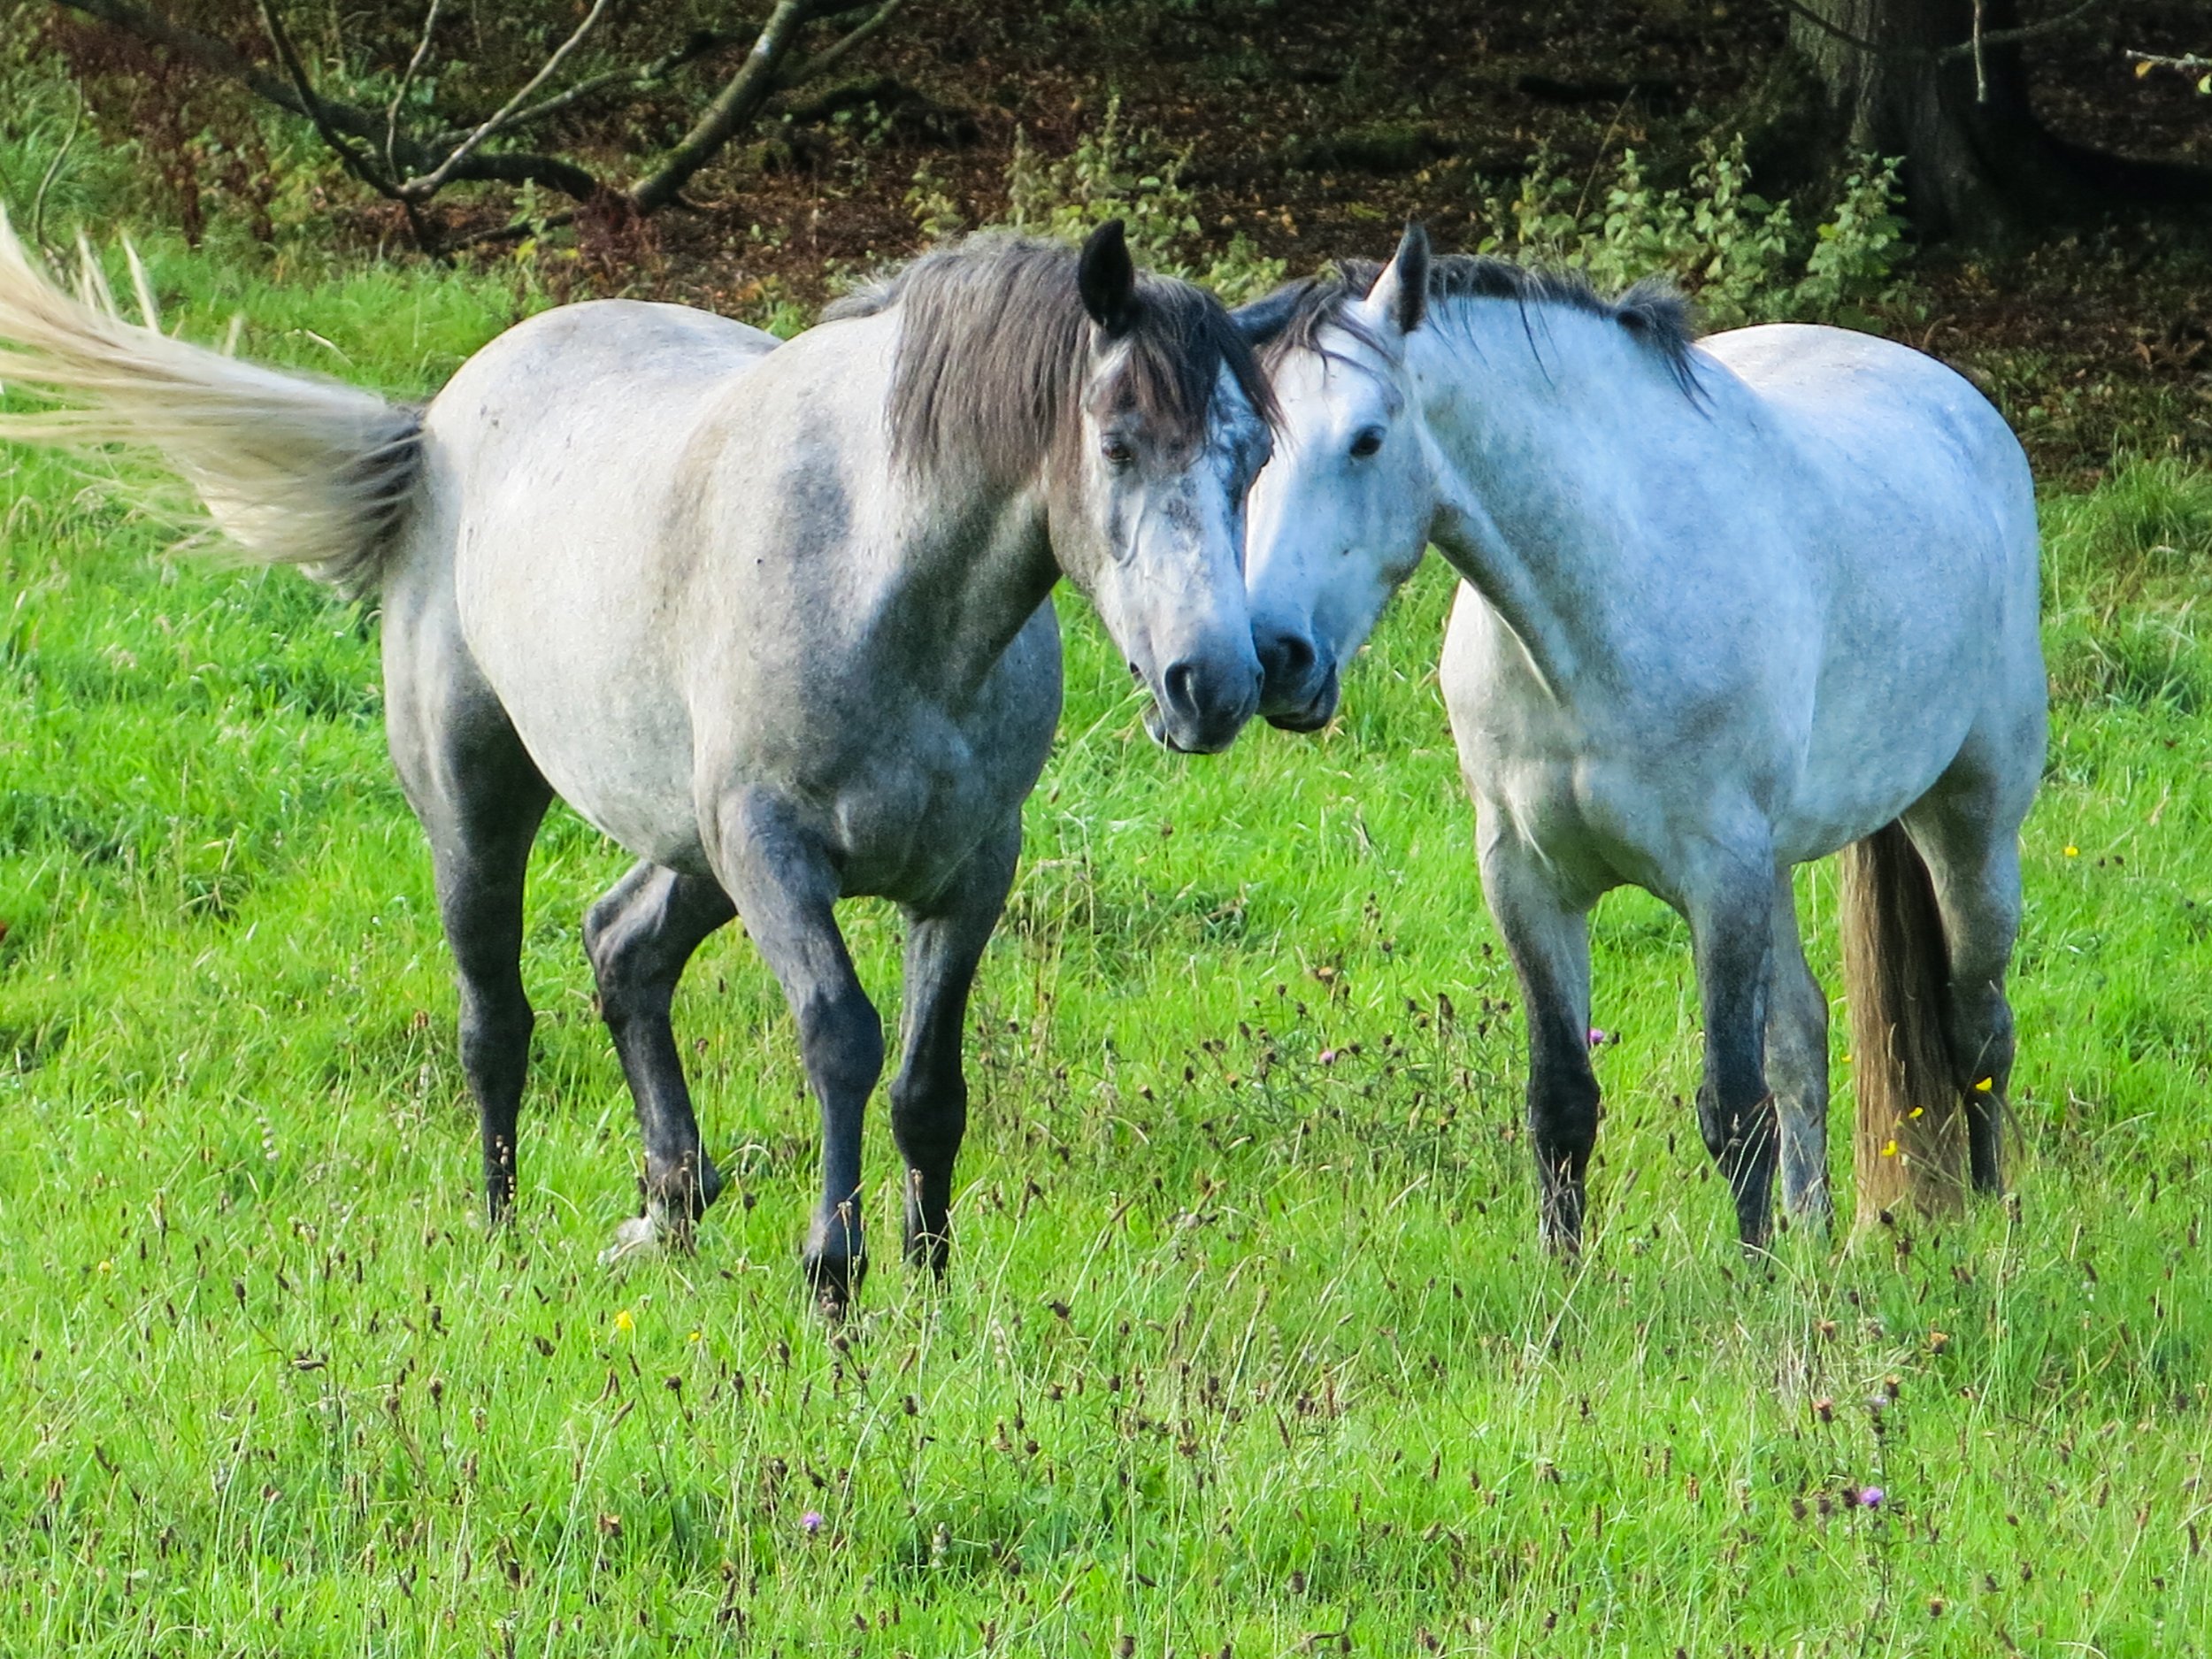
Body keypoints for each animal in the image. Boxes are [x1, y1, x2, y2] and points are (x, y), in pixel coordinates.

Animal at [0, 217, 1276, 1310]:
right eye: (1116, 441)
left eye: (1254, 458)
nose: (1211, 685)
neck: (881, 577)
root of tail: (436, 423)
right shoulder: (773, 854)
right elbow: (842, 1039)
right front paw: (834, 1278)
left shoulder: (968, 875)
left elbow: (928, 1086)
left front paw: (933, 1285)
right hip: (483, 809)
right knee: (495, 1018)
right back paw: (504, 1238)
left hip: (685, 842)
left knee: (622, 949)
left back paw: (673, 1202)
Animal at [1232, 226, 2045, 1251]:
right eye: (1251, 451)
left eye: (1367, 439)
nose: (1278, 656)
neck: (1595, 613)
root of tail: (1954, 399)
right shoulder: (1527, 882)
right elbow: (1562, 1104)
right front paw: (1566, 1274)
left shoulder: (1718, 878)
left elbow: (1732, 1109)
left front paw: (1752, 1280)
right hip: (1781, 865)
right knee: (1806, 1037)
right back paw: (1815, 1231)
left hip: (1970, 827)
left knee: (1976, 1026)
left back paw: (1987, 1213)